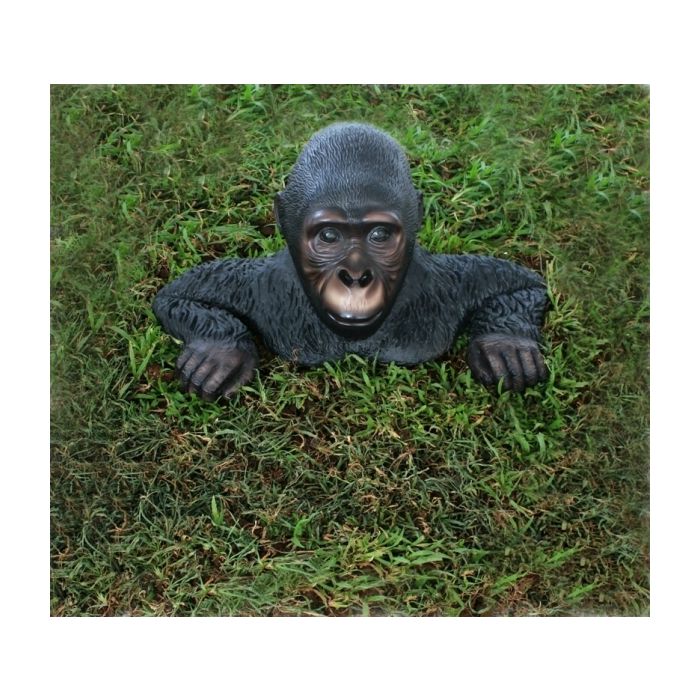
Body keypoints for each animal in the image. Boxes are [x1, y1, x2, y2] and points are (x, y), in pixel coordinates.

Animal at [153, 123, 549, 400]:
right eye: (330, 236)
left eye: (380, 235)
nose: (356, 276)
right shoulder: (259, 283)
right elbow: (176, 296)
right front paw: (218, 351)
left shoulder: (448, 280)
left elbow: (523, 285)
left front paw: (505, 344)